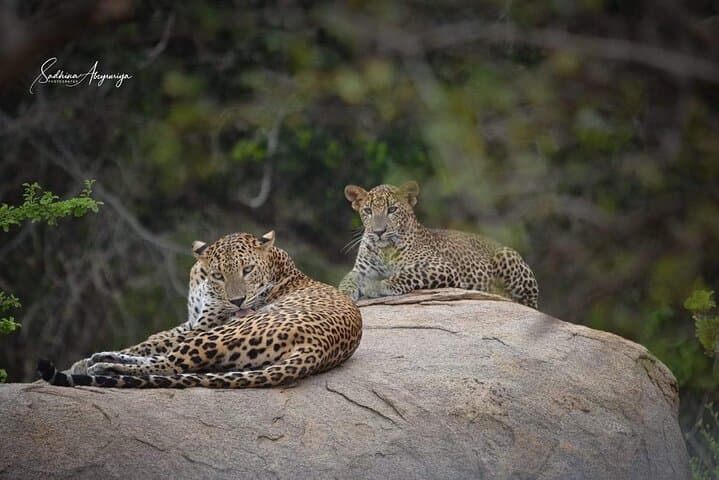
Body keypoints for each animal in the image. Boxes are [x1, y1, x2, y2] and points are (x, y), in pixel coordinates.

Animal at [39, 230, 363, 388]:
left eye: (247, 270)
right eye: (219, 275)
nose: (238, 302)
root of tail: (319, 349)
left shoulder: (205, 325)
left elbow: (158, 345)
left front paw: (86, 363)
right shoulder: (193, 322)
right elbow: (153, 340)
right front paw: (84, 360)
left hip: (226, 333)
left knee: (169, 365)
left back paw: (105, 366)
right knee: (170, 361)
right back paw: (101, 359)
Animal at [339, 181, 539, 308]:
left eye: (392, 210)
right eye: (368, 211)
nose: (379, 231)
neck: (385, 250)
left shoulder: (441, 267)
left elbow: (407, 274)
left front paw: (377, 287)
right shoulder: (361, 270)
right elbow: (348, 279)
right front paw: (343, 294)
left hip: (506, 257)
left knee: (529, 302)